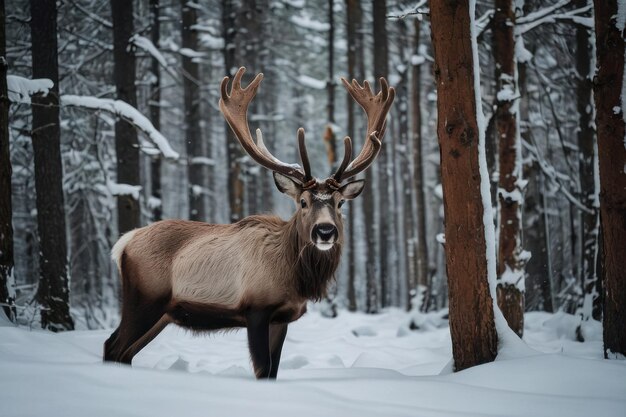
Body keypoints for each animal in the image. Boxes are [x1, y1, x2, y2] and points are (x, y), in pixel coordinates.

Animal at [103, 67, 394, 376]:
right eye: (302, 202)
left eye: (340, 203)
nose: (325, 231)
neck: (295, 276)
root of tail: (122, 245)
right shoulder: (256, 309)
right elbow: (262, 370)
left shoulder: (282, 318)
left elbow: (274, 371)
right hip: (143, 300)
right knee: (112, 345)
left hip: (162, 314)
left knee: (123, 352)